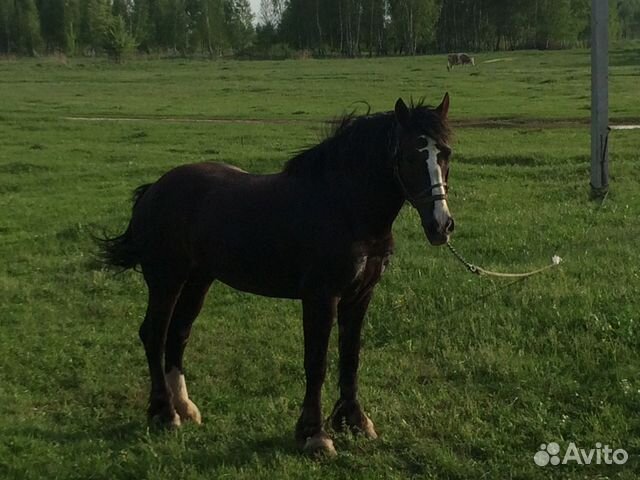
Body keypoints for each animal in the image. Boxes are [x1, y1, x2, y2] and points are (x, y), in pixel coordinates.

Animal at [100, 94, 456, 458]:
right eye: (408, 155)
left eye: (445, 153)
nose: (441, 226)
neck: (345, 207)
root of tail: (154, 189)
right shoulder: (321, 297)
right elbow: (316, 363)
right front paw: (315, 435)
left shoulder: (360, 295)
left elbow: (350, 358)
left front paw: (355, 422)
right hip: (166, 279)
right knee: (154, 334)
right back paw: (165, 413)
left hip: (198, 279)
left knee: (178, 333)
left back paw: (185, 407)